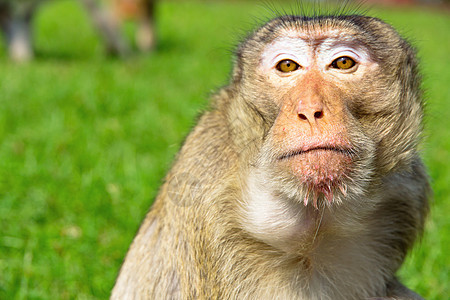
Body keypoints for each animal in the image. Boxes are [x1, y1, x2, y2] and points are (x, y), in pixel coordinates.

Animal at [111, 11, 428, 300]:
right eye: (287, 66)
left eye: (343, 63)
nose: (310, 109)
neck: (314, 219)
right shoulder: (206, 199)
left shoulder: (409, 188)